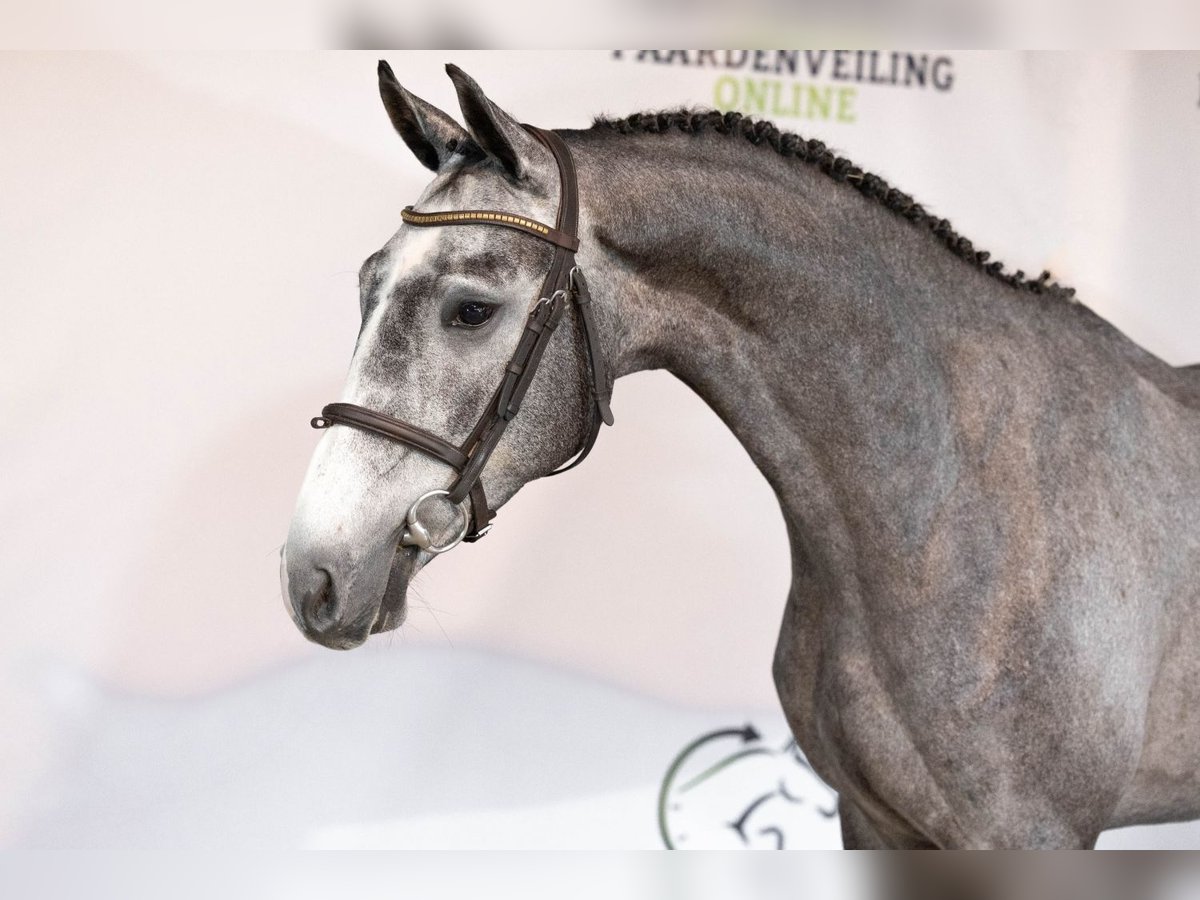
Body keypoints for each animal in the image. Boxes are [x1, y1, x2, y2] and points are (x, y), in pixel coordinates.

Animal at [282, 62, 1200, 848]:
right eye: (366, 285)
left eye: (471, 309)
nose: (312, 577)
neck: (949, 509)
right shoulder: (873, 821)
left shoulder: (1032, 837)